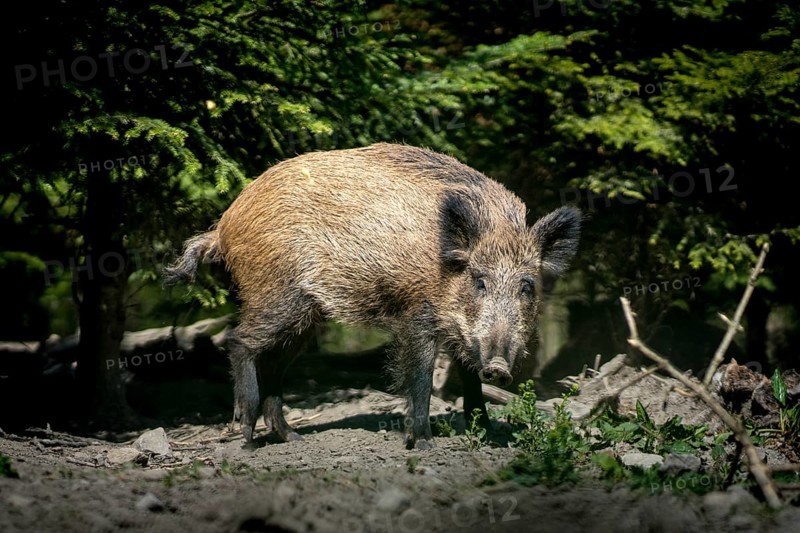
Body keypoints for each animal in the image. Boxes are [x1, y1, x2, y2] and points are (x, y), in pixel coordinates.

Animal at [164, 143, 581, 449]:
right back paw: (246, 440)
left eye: (527, 286)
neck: (444, 269)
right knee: (240, 341)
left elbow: (469, 379)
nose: (499, 367)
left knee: (273, 364)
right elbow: (420, 375)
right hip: (279, 294)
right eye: (479, 281)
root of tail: (223, 226)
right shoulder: (416, 314)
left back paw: (294, 439)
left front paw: (486, 434)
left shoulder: (462, 333)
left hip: (305, 318)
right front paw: (423, 444)